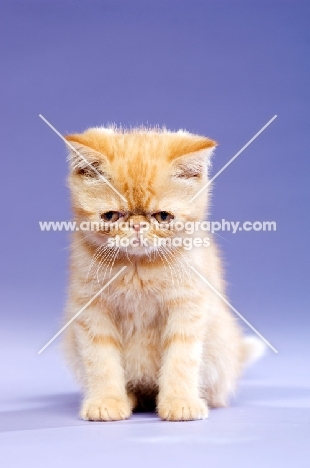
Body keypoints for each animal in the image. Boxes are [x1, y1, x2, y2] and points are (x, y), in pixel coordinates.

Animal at [62, 126, 264, 422]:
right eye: (110, 216)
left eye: (163, 216)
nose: (136, 226)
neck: (138, 268)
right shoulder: (91, 308)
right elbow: (101, 359)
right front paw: (106, 401)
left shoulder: (188, 306)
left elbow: (181, 357)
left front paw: (180, 402)